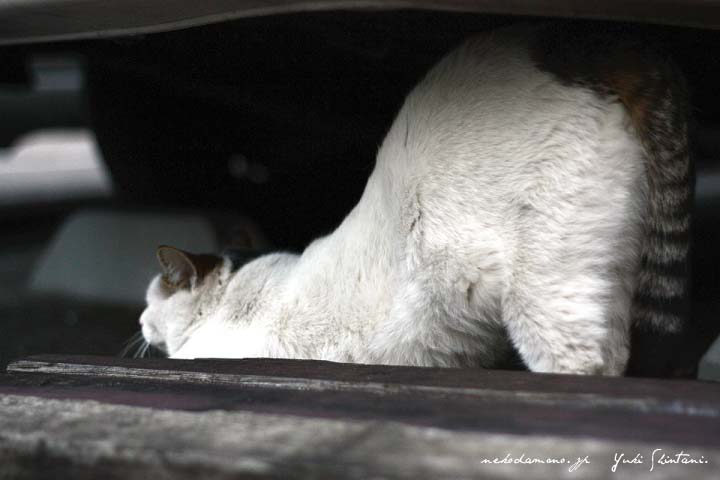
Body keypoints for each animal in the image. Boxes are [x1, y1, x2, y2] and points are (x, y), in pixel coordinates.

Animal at [139, 24, 692, 375]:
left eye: (151, 300)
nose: (140, 324)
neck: (232, 295)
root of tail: (574, 48)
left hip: (547, 287)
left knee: (588, 363)